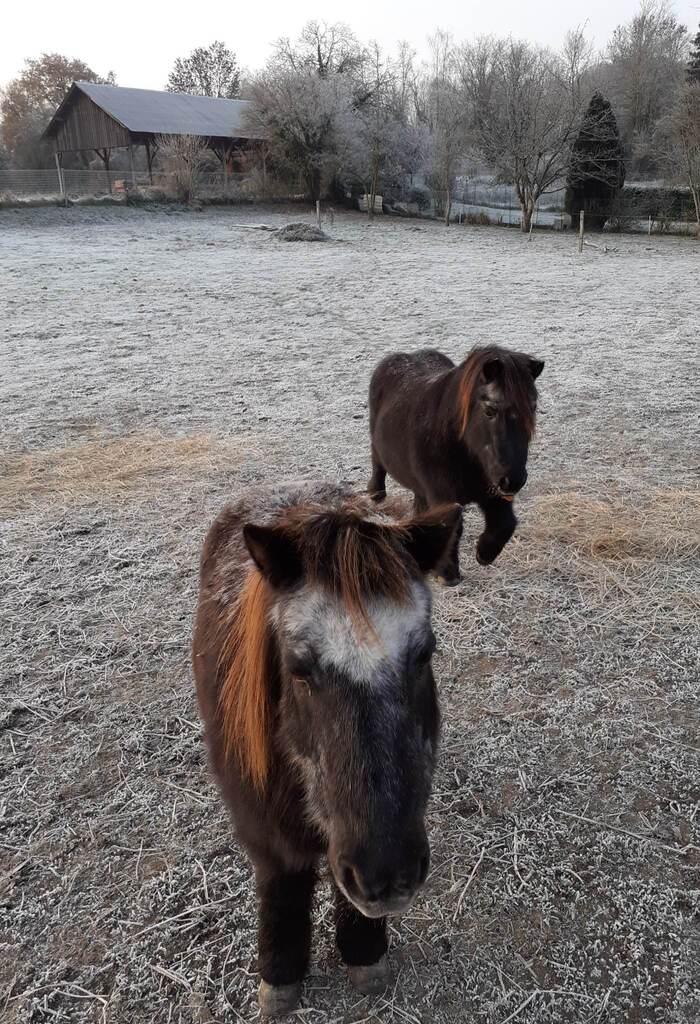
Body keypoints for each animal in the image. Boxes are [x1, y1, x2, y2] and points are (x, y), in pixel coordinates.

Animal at [194, 483, 462, 1011]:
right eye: (300, 669)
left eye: (424, 654)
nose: (389, 873)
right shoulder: (266, 834)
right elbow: (284, 885)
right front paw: (279, 977)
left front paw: (364, 953)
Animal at [368, 346, 544, 581]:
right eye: (490, 410)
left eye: (532, 407)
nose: (513, 480)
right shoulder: (444, 498)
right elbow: (451, 527)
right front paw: (448, 573)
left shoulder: (493, 493)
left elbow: (505, 524)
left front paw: (484, 554)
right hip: (376, 446)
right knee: (377, 465)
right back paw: (376, 494)